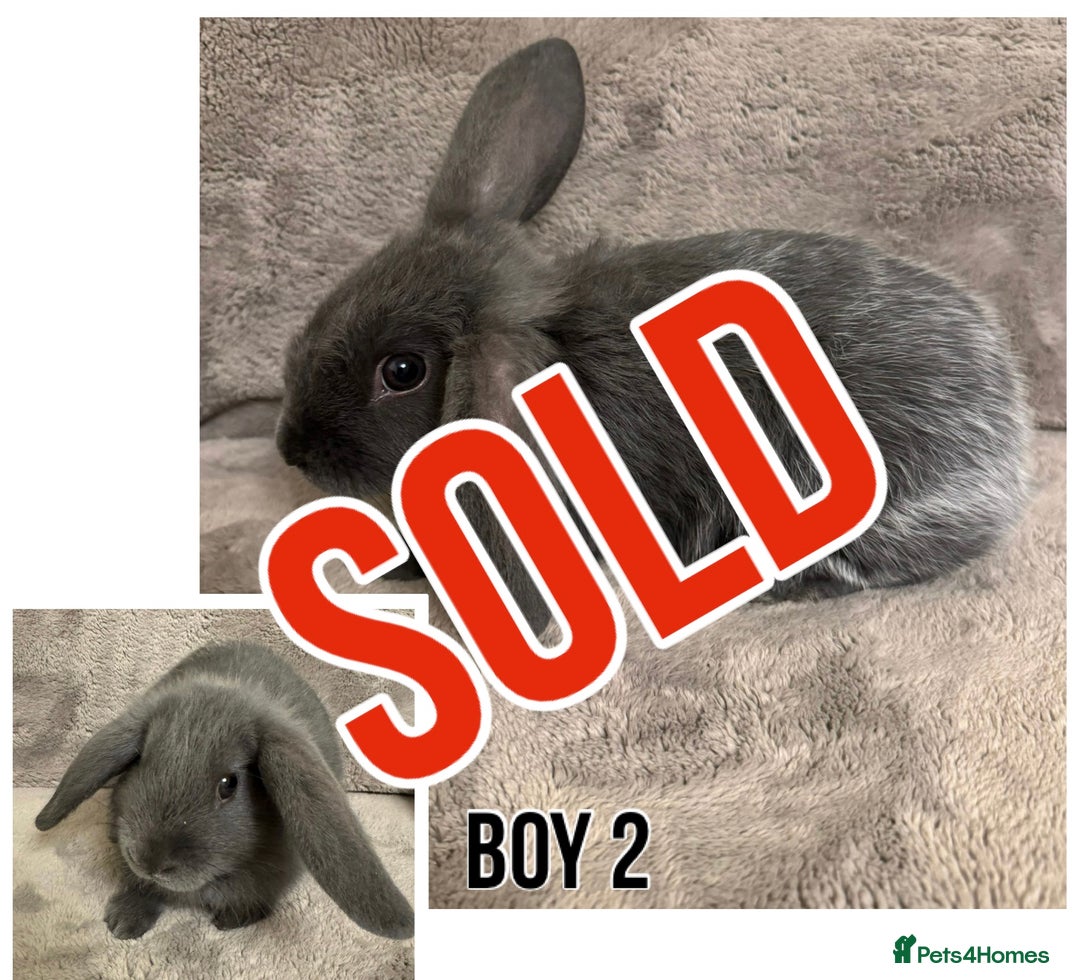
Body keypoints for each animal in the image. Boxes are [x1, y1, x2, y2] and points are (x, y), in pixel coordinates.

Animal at [35, 642, 414, 941]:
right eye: (140, 761)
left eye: (229, 784)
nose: (150, 862)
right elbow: (142, 890)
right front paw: (123, 921)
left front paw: (233, 920)